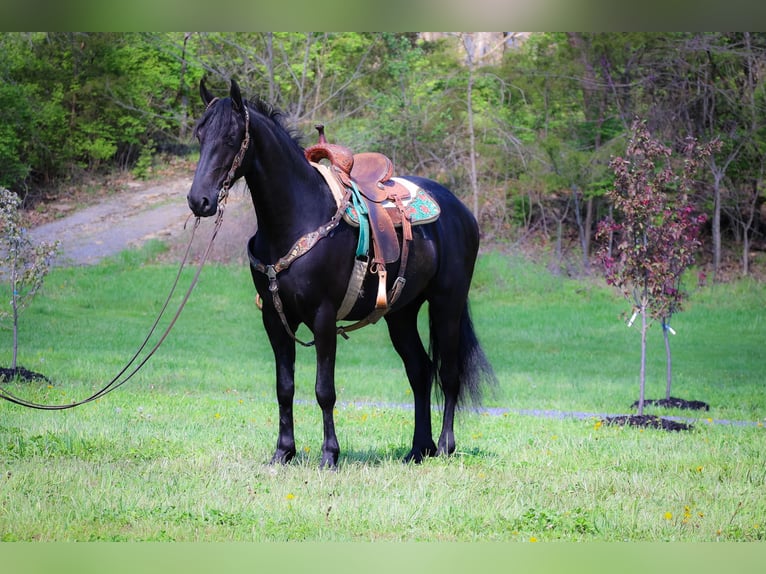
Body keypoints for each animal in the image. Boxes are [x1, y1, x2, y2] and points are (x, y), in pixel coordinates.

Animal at [189, 80, 496, 468]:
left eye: (230, 138)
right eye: (200, 135)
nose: (198, 200)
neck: (298, 216)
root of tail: (460, 210)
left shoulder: (323, 317)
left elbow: (324, 390)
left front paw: (329, 456)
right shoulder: (275, 319)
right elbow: (284, 387)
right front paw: (283, 452)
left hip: (447, 305)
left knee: (449, 374)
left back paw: (443, 446)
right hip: (401, 314)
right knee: (420, 371)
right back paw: (418, 449)